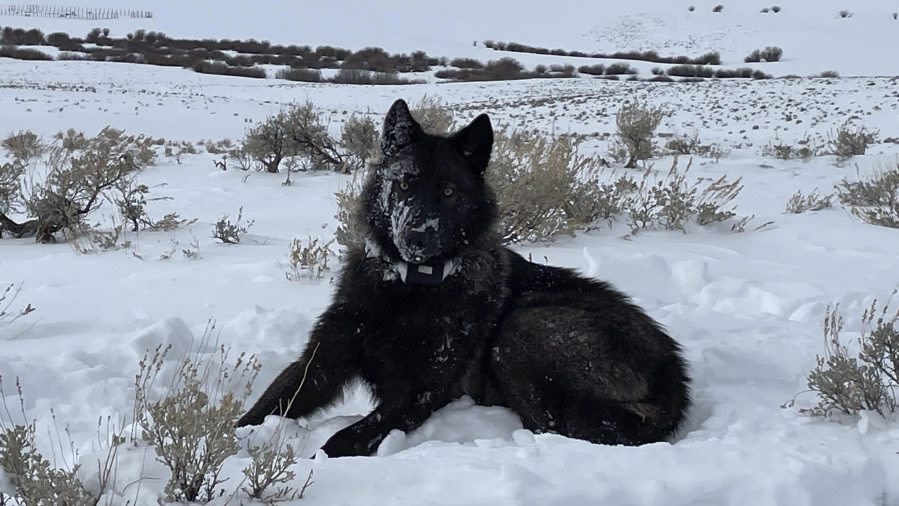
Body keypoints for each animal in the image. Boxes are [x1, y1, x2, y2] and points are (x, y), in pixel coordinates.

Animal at [237, 97, 688, 456]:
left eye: (449, 192)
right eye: (404, 184)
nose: (416, 236)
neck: (410, 289)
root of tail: (673, 372)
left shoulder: (418, 393)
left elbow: (340, 441)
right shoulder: (322, 361)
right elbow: (265, 406)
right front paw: (231, 445)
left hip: (523, 329)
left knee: (555, 424)